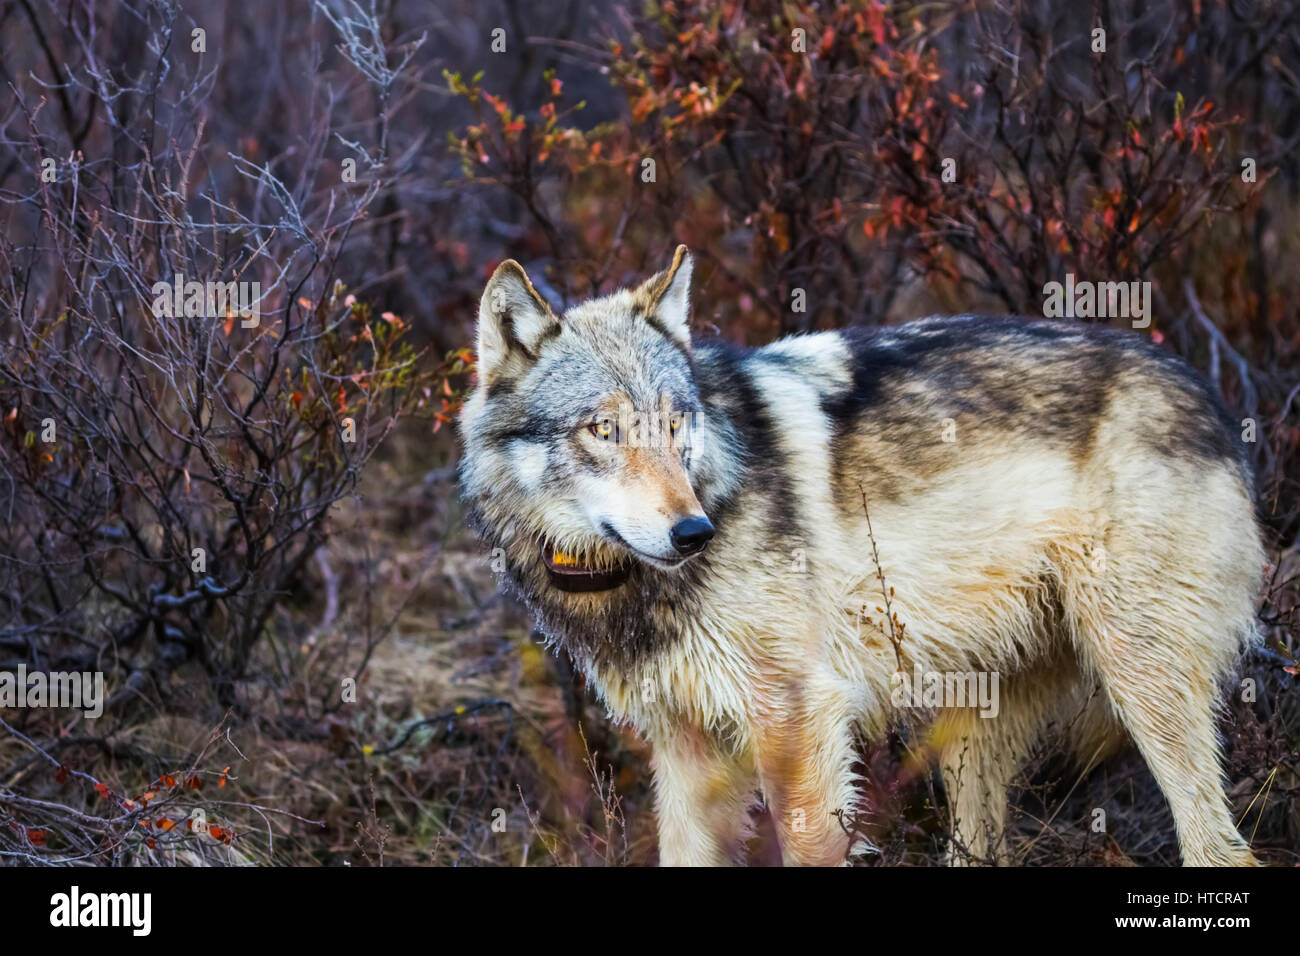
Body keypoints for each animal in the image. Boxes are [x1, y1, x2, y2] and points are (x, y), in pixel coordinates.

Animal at [462, 247, 1263, 868]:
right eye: (602, 428)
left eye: (675, 421)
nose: (694, 532)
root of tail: (1207, 393)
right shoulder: (685, 750)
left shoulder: (798, 722)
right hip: (973, 727)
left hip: (1140, 684)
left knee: (1223, 847)